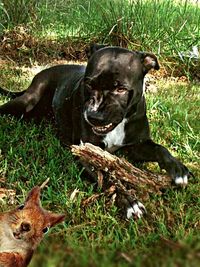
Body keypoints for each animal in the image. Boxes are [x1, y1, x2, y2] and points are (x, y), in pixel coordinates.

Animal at [0, 45, 191, 219]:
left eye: (121, 89)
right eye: (90, 84)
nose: (93, 115)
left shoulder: (137, 145)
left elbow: (160, 149)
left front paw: (179, 169)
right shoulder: (86, 153)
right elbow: (108, 178)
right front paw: (129, 202)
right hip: (27, 101)